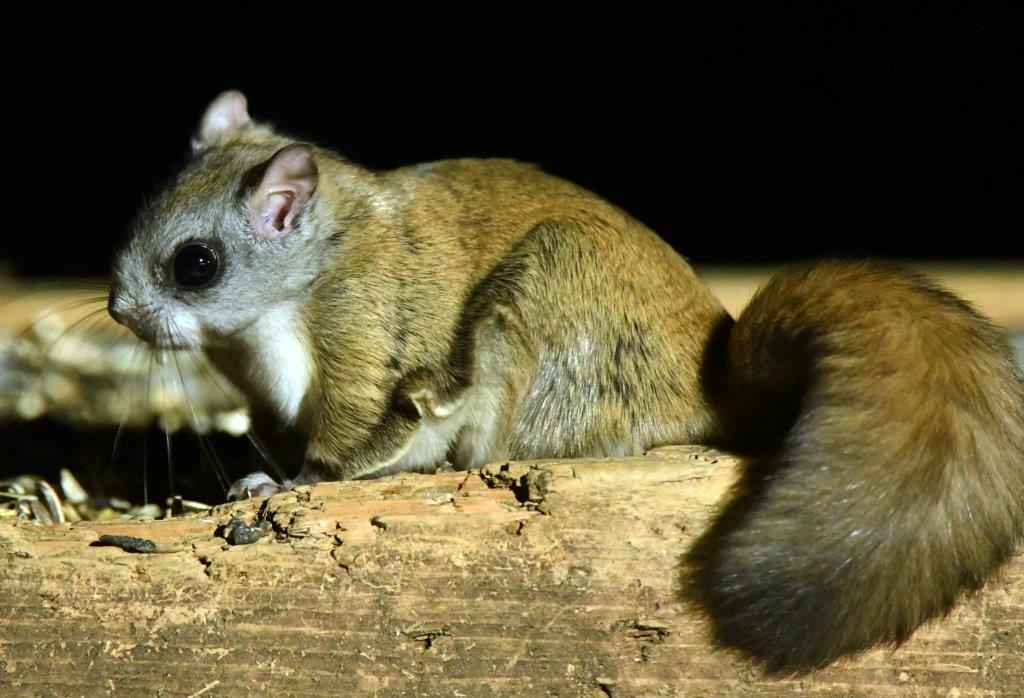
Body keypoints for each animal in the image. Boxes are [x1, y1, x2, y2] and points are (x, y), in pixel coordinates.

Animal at [108, 90, 1024, 672]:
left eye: (196, 264)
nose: (116, 309)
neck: (308, 272)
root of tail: (711, 378)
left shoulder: (363, 337)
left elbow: (351, 441)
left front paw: (279, 483)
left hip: (544, 295)